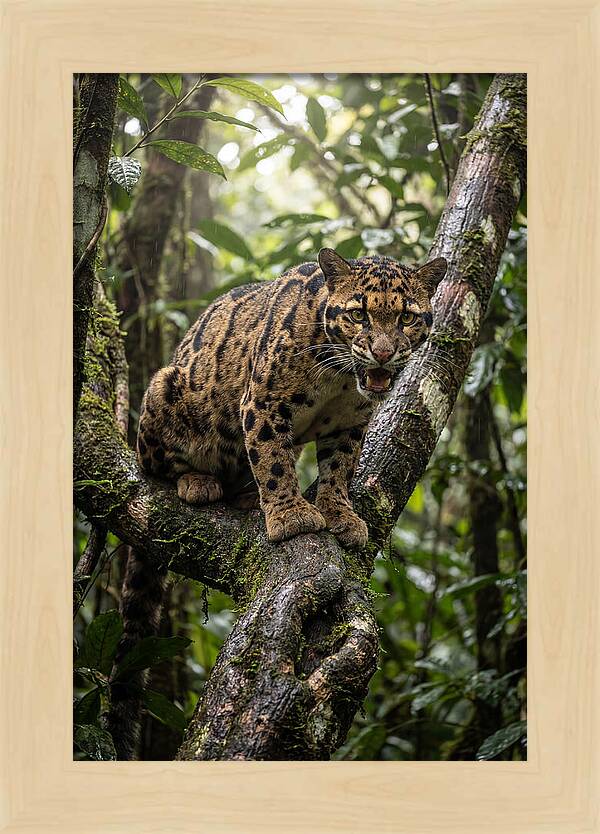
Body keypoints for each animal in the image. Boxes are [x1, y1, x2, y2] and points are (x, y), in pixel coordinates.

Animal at [137, 247, 447, 550]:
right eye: (358, 315)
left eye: (406, 318)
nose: (383, 353)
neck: (339, 377)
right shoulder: (263, 403)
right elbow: (273, 461)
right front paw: (291, 515)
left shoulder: (350, 422)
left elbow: (340, 468)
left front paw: (340, 513)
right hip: (164, 386)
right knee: (157, 466)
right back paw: (198, 481)